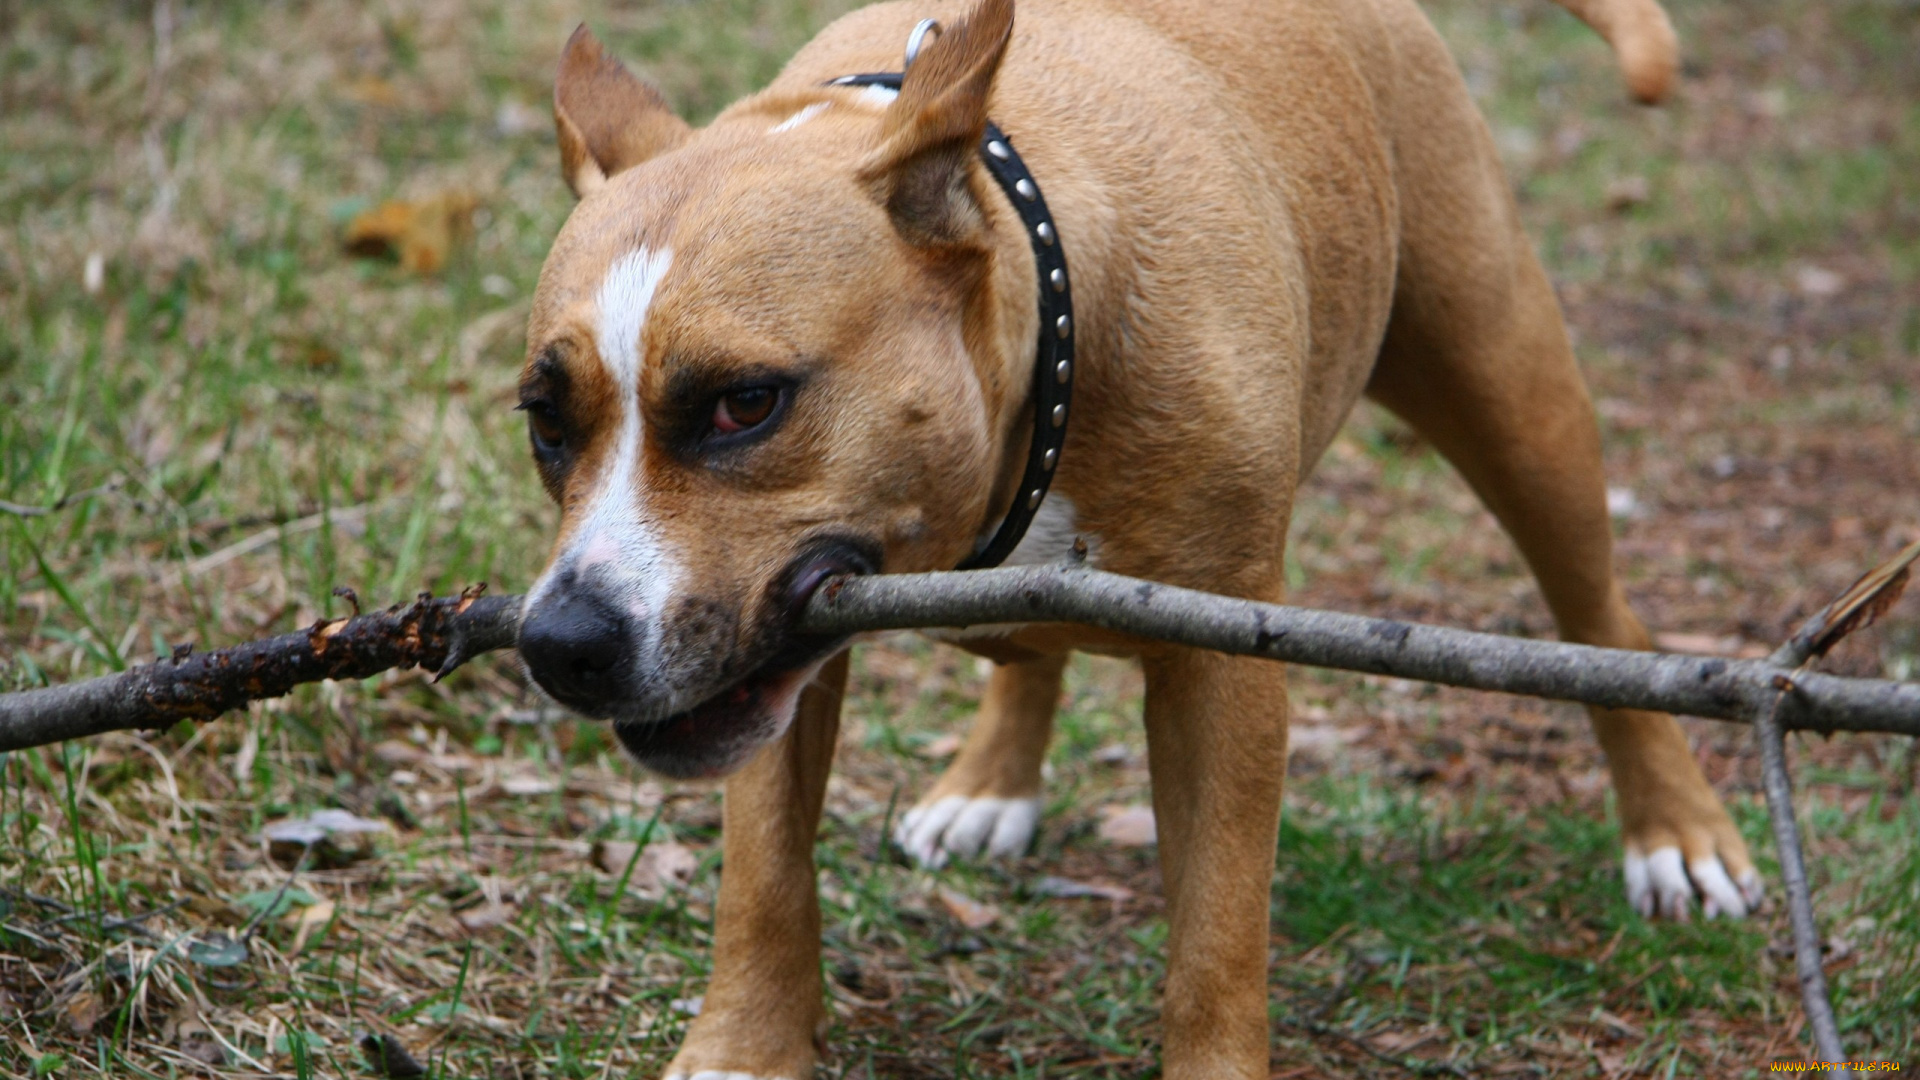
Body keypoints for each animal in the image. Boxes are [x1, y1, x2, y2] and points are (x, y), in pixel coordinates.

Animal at [510, 2, 1758, 1068]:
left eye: (745, 404)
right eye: (544, 421)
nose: (561, 643)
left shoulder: (1220, 676)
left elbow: (1216, 938)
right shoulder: (778, 667)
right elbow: (766, 883)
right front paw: (743, 1052)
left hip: (1513, 394)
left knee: (1600, 614)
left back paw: (1676, 829)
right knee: (1029, 647)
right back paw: (992, 778)